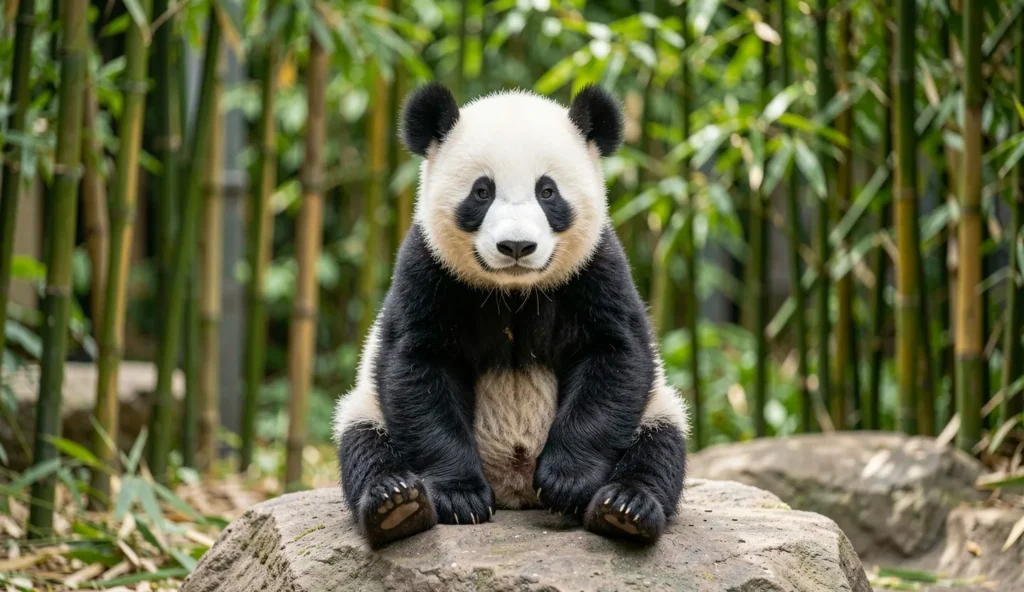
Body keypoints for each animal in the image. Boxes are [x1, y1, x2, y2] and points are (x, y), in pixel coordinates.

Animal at [333, 83, 689, 548]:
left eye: (548, 192)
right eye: (482, 192)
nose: (516, 246)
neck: (514, 291)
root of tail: (514, 489)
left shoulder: (597, 268)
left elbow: (614, 355)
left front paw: (566, 482)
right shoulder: (427, 270)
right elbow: (418, 367)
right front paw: (458, 497)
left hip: (656, 408)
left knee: (659, 447)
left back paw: (625, 510)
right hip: (366, 408)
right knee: (364, 445)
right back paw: (395, 506)